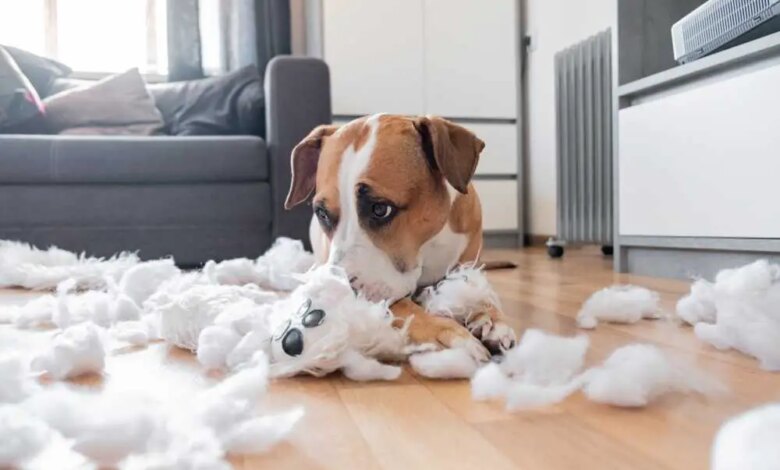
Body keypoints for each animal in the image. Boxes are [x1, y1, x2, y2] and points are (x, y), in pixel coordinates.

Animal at [286, 114, 516, 360]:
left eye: (380, 209)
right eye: (322, 213)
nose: (337, 293)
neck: (428, 246)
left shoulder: (468, 264)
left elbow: (478, 289)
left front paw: (491, 318)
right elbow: (405, 308)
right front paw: (448, 333)